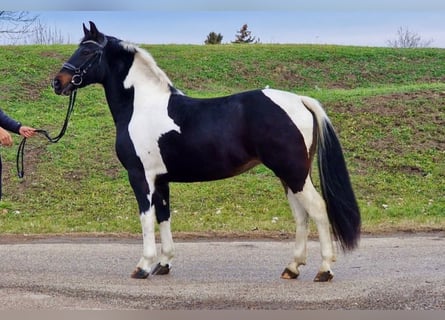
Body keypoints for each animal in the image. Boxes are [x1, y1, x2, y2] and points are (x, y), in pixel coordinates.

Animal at [52, 22, 360, 282]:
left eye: (87, 51)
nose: (58, 82)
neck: (141, 106)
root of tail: (300, 100)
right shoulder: (161, 180)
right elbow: (163, 216)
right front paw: (164, 264)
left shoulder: (140, 177)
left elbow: (146, 218)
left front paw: (143, 266)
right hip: (290, 176)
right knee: (301, 215)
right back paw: (292, 268)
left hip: (294, 173)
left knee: (317, 210)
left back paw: (324, 270)